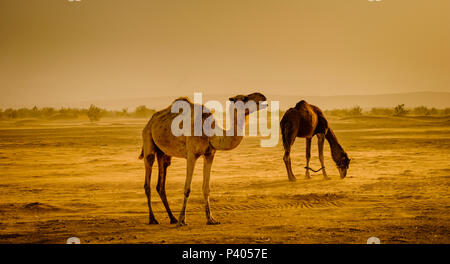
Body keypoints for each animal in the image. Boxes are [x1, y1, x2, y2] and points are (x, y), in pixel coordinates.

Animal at [140, 92, 268, 225]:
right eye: (244, 98)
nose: (263, 97)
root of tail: (150, 121)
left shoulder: (209, 154)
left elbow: (206, 188)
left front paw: (211, 219)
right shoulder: (191, 154)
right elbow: (187, 188)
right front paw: (182, 219)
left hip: (163, 153)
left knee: (161, 183)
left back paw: (172, 218)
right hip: (147, 137)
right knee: (148, 174)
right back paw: (153, 219)